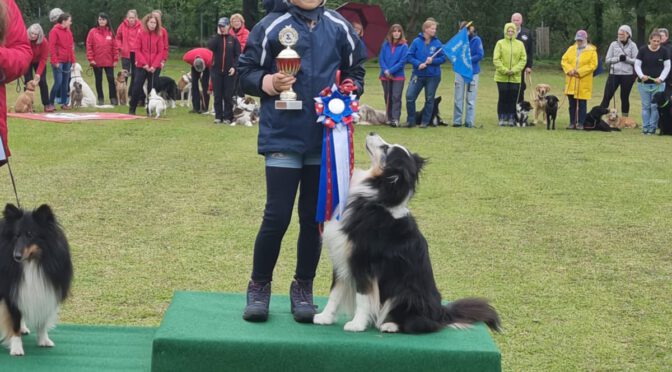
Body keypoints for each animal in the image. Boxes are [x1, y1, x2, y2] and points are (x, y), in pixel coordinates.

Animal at [0, 205, 73, 356]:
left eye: (30, 235)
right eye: (16, 236)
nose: (16, 256)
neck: (32, 262)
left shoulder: (45, 291)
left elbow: (42, 320)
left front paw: (44, 340)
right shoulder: (11, 292)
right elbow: (14, 322)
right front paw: (16, 348)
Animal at [314, 134, 498, 334]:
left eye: (386, 149)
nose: (371, 132)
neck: (378, 194)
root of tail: (441, 313)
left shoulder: (363, 262)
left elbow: (363, 297)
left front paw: (356, 324)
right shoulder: (342, 257)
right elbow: (335, 292)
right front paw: (324, 317)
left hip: (406, 292)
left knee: (423, 324)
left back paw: (390, 325)